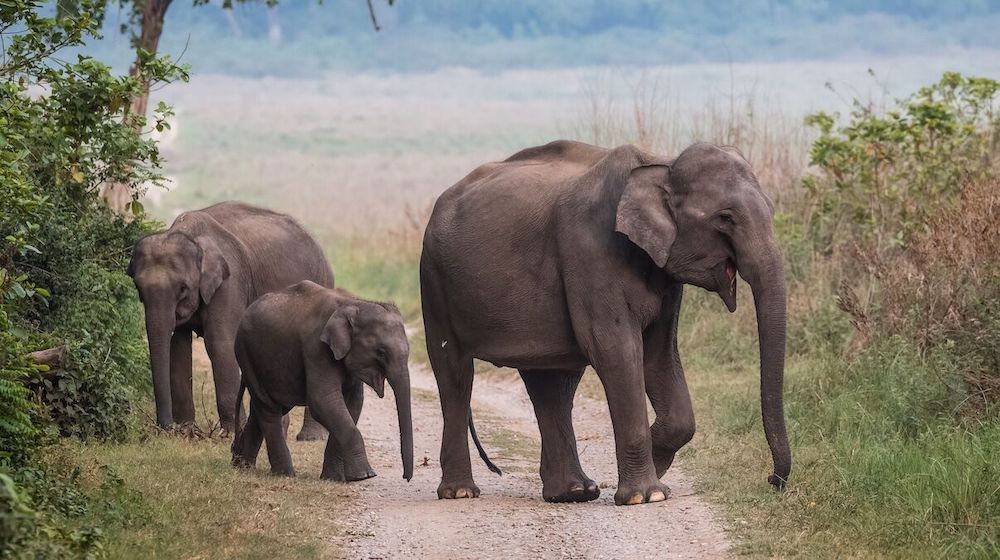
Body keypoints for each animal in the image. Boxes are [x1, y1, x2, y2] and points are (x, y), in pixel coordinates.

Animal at [127, 201, 332, 438]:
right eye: (138, 288)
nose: (166, 428)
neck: (189, 234)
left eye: (182, 288)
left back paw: (310, 436)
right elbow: (178, 347)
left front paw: (231, 433)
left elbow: (219, 344)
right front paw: (186, 431)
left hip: (323, 282)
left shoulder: (230, 282)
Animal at [231, 282, 414, 484]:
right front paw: (365, 476)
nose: (405, 477)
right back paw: (284, 474)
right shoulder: (316, 348)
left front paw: (333, 478)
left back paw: (242, 465)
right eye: (381, 352)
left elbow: (352, 405)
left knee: (266, 407)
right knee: (269, 408)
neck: (353, 303)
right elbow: (323, 402)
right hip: (246, 352)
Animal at [422, 141, 788, 508]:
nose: (772, 480)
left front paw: (655, 462)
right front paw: (647, 494)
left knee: (552, 384)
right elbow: (616, 350)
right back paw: (461, 492)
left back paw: (573, 492)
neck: (660, 162)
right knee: (455, 373)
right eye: (725, 218)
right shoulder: (591, 253)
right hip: (435, 281)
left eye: (772, 209)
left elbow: (659, 356)